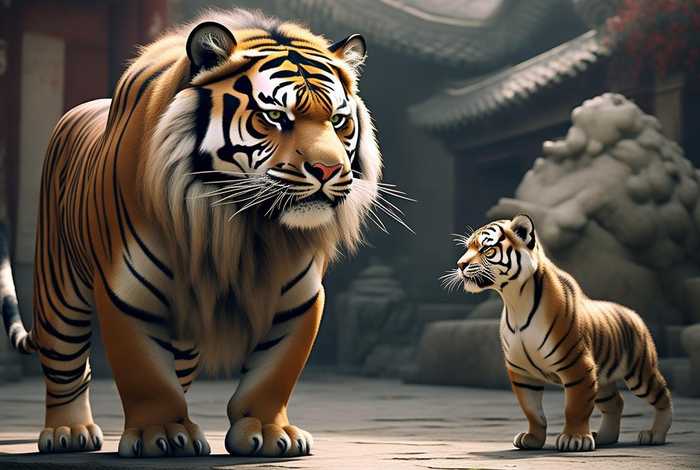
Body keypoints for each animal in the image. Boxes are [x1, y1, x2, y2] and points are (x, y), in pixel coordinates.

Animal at [0, 9, 387, 458]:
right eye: (275, 117)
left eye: (338, 121)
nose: (328, 169)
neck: (244, 227)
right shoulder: (126, 291)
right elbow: (145, 373)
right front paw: (162, 433)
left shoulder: (300, 297)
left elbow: (275, 372)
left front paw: (269, 432)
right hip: (59, 287)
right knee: (65, 363)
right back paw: (68, 432)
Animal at [442, 214, 672, 452]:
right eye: (468, 247)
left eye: (486, 249)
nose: (460, 265)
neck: (514, 301)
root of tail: (634, 314)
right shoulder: (522, 373)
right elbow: (532, 411)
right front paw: (532, 439)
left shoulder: (577, 366)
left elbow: (575, 408)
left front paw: (575, 439)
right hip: (602, 379)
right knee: (615, 403)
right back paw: (604, 437)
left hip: (639, 373)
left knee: (662, 395)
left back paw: (655, 434)